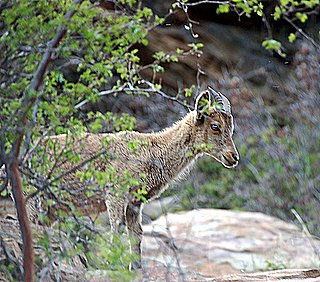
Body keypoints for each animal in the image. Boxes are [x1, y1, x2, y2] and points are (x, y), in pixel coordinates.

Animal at [35, 86, 239, 268]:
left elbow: (136, 233)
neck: (151, 151)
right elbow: (117, 227)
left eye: (231, 128)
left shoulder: (134, 202)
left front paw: (136, 267)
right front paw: (111, 265)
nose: (234, 157)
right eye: (215, 126)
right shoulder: (115, 193)